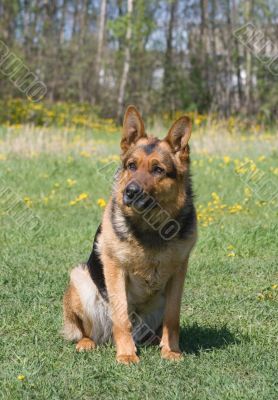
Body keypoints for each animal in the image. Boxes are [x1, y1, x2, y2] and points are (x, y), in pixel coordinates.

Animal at [63, 104, 198, 364]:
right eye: (132, 166)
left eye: (158, 170)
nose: (130, 192)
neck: (151, 226)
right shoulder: (115, 269)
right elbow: (122, 317)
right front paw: (126, 354)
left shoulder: (179, 272)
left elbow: (173, 317)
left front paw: (171, 350)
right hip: (80, 279)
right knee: (86, 331)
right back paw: (88, 342)